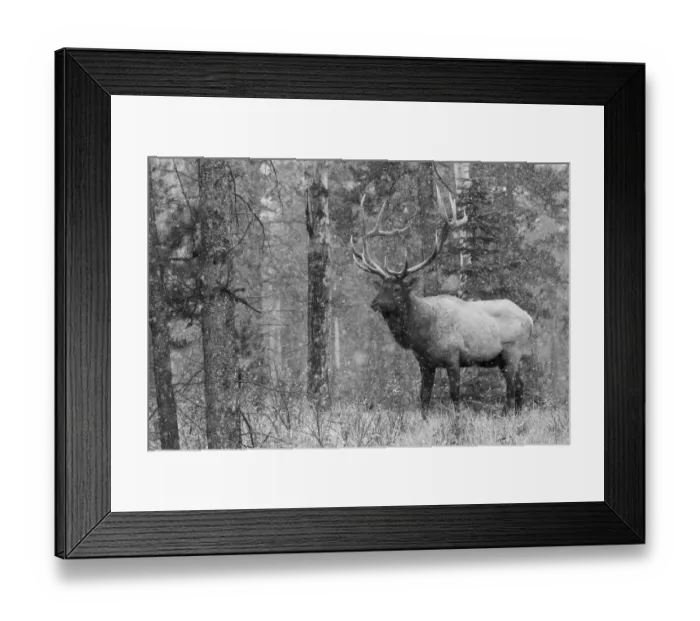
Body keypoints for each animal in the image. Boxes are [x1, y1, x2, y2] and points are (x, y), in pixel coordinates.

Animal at [350, 187, 533, 418]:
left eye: (396, 289)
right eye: (381, 286)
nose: (374, 303)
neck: (422, 334)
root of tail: (530, 319)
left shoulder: (453, 357)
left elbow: (455, 395)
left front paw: (457, 421)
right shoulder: (425, 363)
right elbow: (424, 397)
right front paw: (424, 420)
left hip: (512, 352)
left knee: (510, 390)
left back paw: (506, 415)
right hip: (505, 358)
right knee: (520, 386)